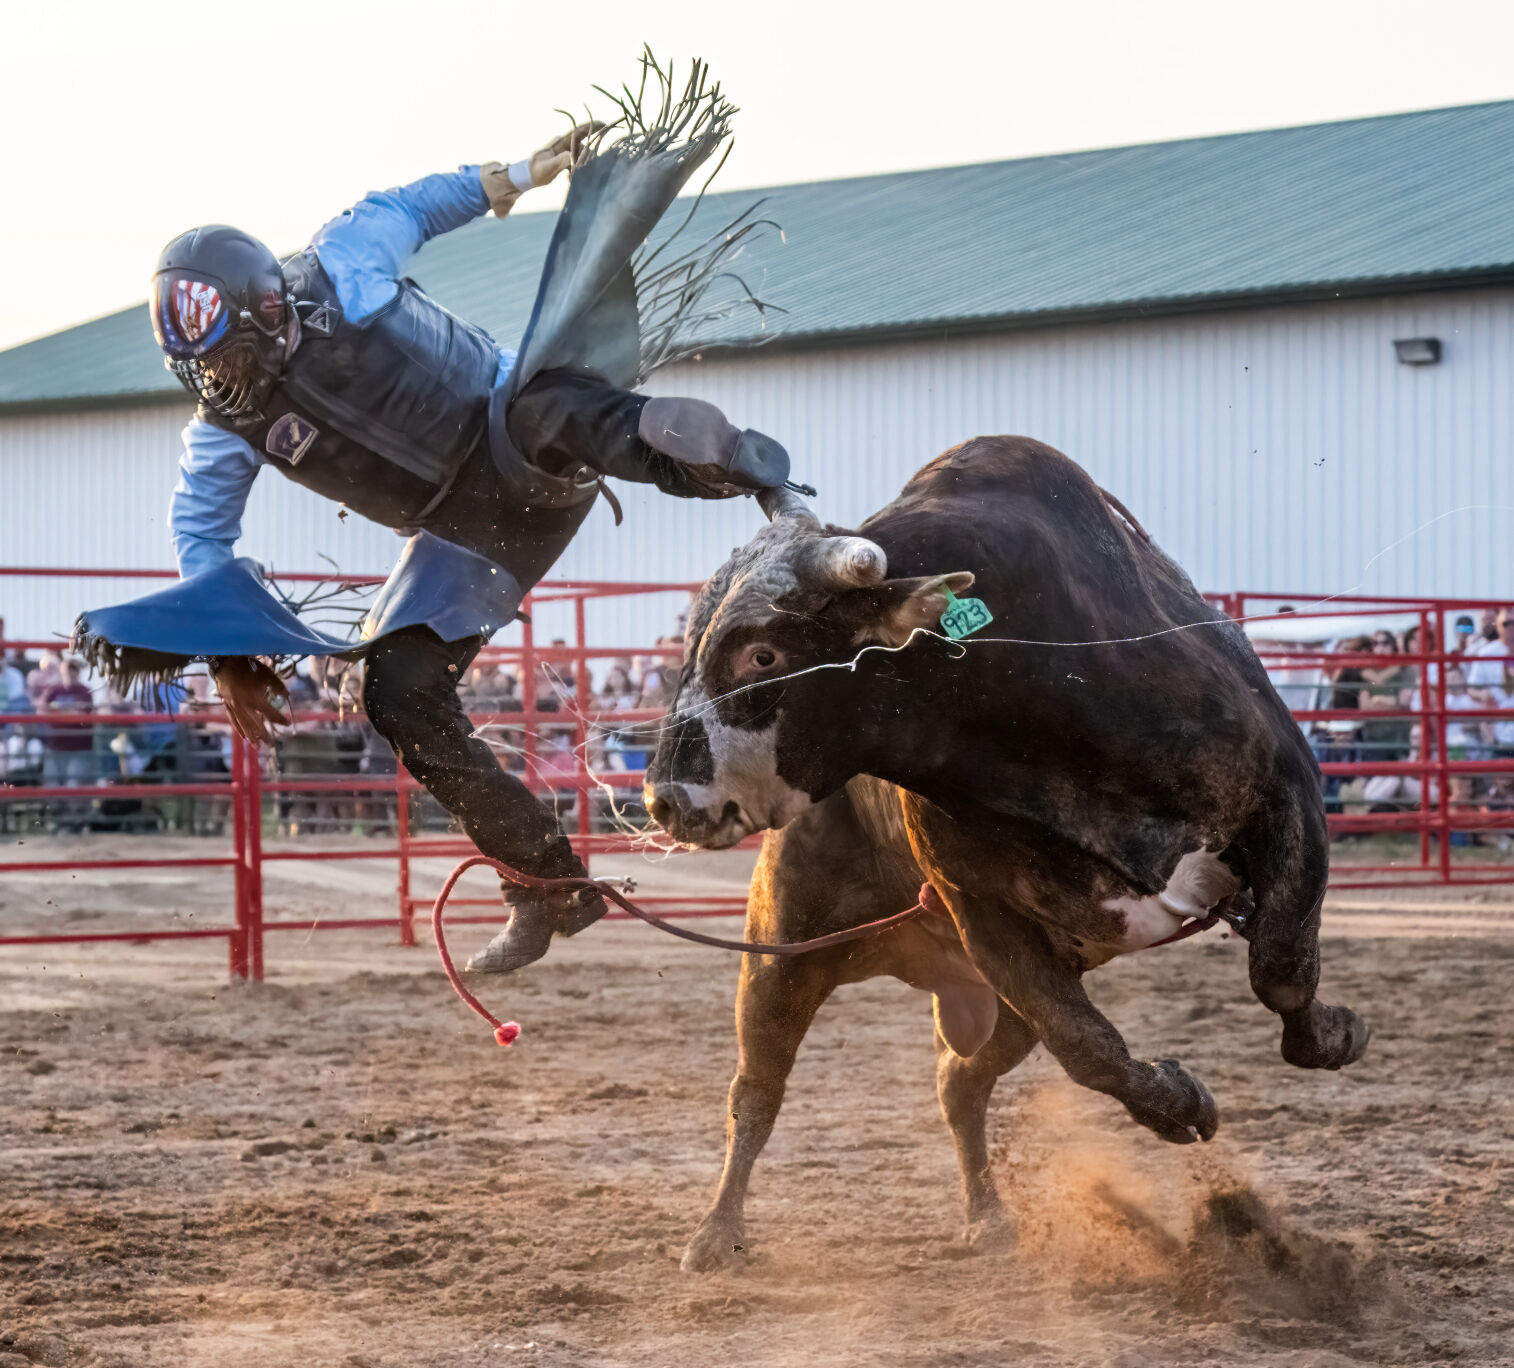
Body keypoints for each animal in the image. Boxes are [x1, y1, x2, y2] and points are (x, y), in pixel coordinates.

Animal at [647, 435, 1374, 1240]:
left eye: (763, 655)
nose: (664, 800)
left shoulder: (1288, 796)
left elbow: (1280, 964)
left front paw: (1336, 1033)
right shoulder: (985, 913)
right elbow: (1088, 1049)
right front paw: (1182, 1103)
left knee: (958, 1080)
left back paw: (987, 1214)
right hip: (785, 945)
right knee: (758, 1088)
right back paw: (718, 1232)